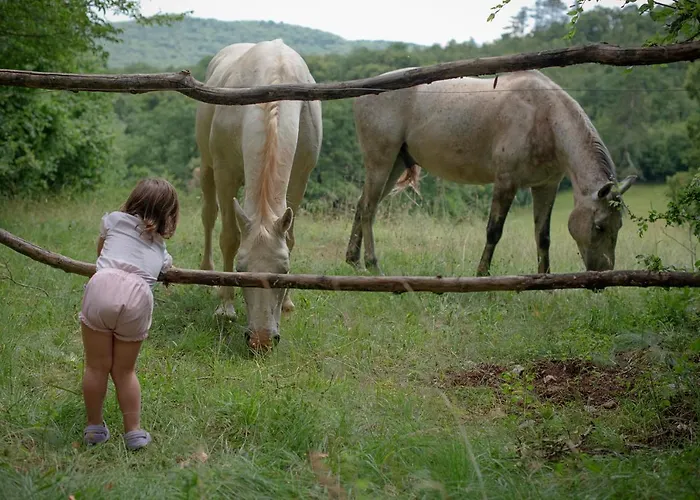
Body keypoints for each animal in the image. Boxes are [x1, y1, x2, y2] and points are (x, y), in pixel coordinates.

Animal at [195, 39, 322, 352]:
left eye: (285, 272)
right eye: (241, 272)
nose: (261, 340)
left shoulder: (300, 178)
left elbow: (290, 238)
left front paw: (287, 303)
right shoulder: (225, 173)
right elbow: (229, 237)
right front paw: (226, 307)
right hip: (207, 167)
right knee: (209, 216)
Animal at [346, 69, 636, 276]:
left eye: (619, 225)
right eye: (599, 226)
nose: (603, 273)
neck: (544, 116)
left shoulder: (546, 186)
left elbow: (543, 236)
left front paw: (546, 281)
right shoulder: (506, 182)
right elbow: (494, 231)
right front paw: (482, 274)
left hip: (393, 165)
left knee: (362, 205)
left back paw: (353, 262)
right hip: (381, 162)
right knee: (368, 209)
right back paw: (372, 265)